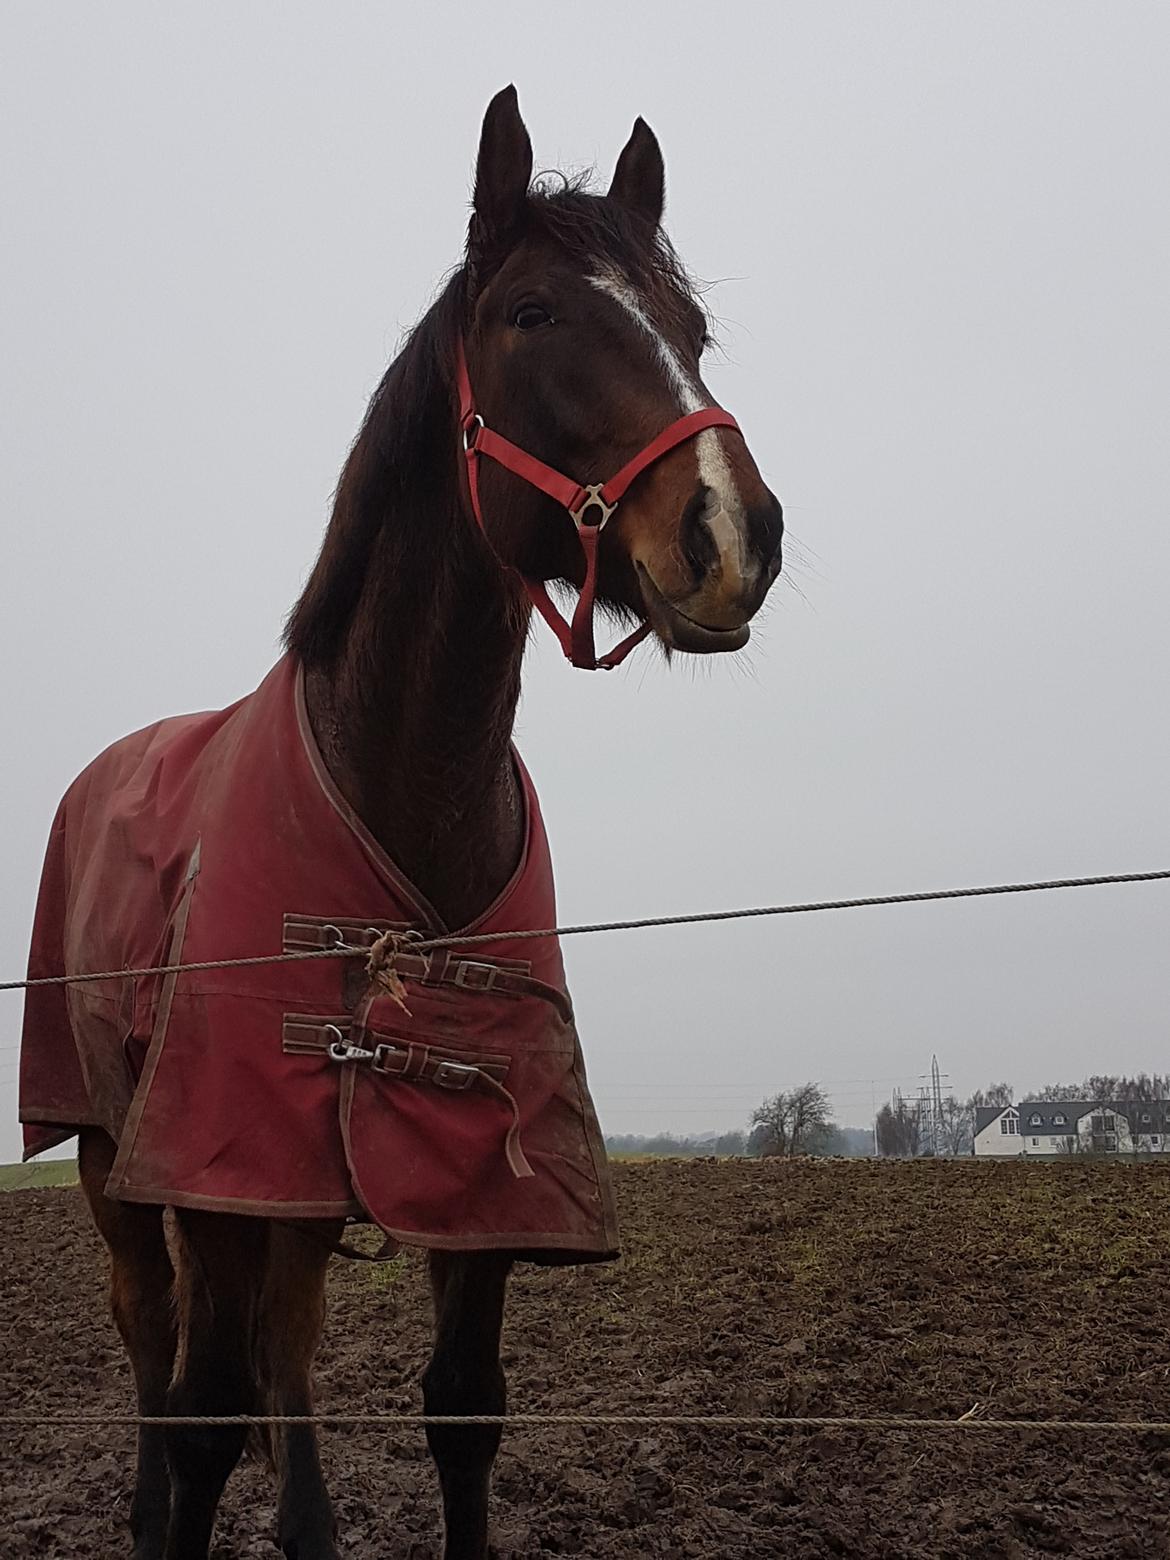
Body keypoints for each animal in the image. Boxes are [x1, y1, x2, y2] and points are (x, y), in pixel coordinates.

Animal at [18, 88, 789, 1560]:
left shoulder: (471, 1185)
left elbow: (460, 1409)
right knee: (153, 1339)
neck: (401, 783)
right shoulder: (214, 1164)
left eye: (693, 328)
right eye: (532, 313)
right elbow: (203, 1418)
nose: (733, 534)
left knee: (288, 1340)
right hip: (104, 1155)